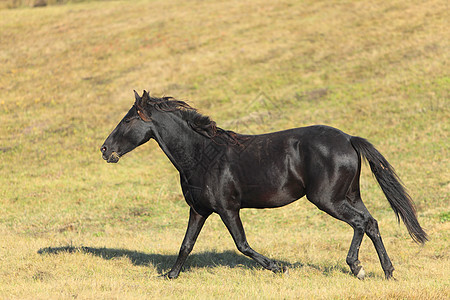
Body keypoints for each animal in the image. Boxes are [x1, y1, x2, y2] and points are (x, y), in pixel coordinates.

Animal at [100, 90, 428, 280]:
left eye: (128, 120)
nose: (105, 150)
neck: (202, 154)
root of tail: (348, 139)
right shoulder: (199, 210)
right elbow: (186, 245)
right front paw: (170, 275)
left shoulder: (227, 209)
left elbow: (242, 244)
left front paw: (278, 267)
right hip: (348, 195)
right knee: (370, 223)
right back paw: (381, 271)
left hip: (327, 199)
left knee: (361, 223)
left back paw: (363, 268)